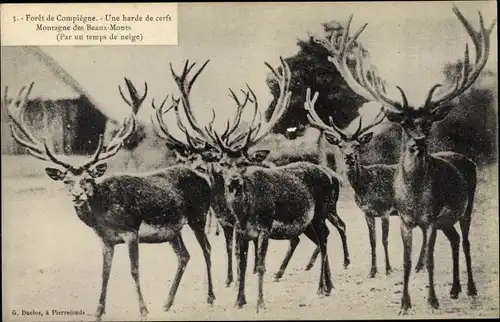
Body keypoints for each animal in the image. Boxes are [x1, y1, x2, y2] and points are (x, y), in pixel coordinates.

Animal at [4, 80, 215, 320]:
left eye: (88, 178)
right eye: (66, 181)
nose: (77, 195)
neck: (104, 214)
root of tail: (205, 180)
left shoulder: (131, 231)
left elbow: (134, 270)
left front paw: (143, 310)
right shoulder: (106, 240)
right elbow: (105, 273)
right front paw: (98, 311)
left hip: (199, 216)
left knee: (207, 249)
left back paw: (210, 298)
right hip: (173, 230)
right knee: (184, 256)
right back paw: (167, 303)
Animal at [318, 3, 494, 314]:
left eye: (428, 123)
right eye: (405, 123)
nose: (419, 142)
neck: (414, 195)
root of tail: (466, 159)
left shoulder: (431, 218)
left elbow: (430, 259)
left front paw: (432, 300)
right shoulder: (405, 219)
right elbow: (406, 260)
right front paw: (404, 303)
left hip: (466, 207)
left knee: (466, 241)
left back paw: (470, 289)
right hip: (447, 220)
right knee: (455, 240)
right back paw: (455, 289)